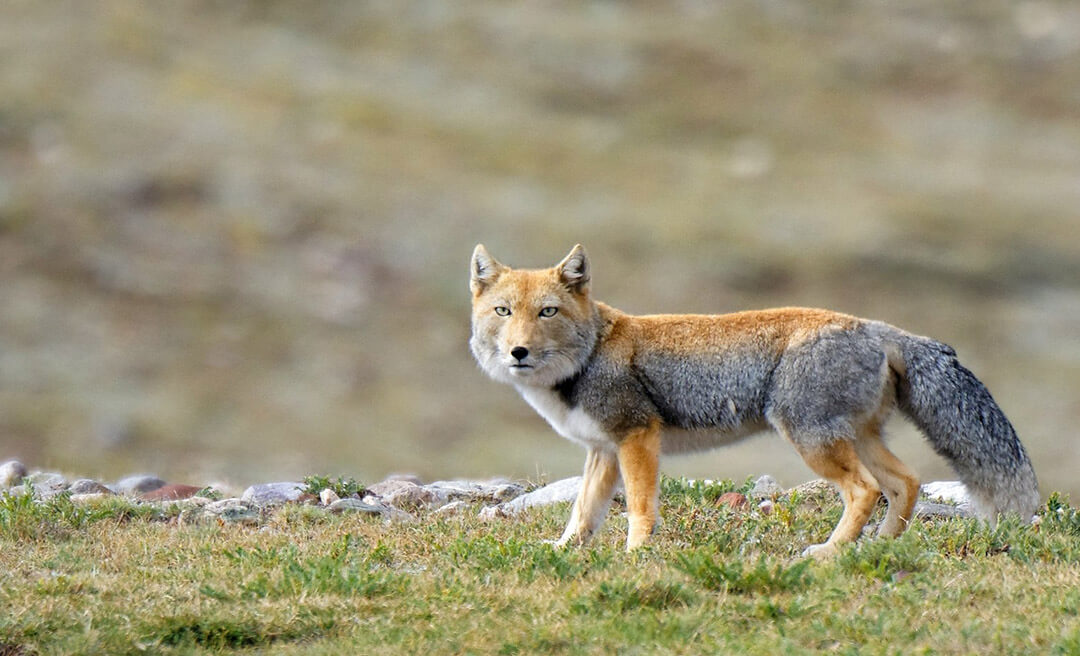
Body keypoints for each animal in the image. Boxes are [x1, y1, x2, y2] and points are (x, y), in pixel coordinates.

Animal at [469, 244, 1040, 557]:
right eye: (503, 311)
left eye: (547, 312)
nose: (518, 351)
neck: (589, 354)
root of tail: (876, 326)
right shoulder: (603, 450)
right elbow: (583, 513)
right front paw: (565, 551)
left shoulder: (636, 437)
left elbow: (639, 508)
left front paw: (635, 556)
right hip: (854, 438)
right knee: (905, 482)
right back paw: (874, 548)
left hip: (811, 439)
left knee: (866, 490)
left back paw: (827, 553)